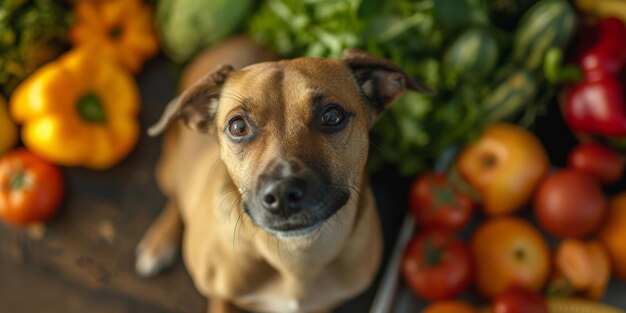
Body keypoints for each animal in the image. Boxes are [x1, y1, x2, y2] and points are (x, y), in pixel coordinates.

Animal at [135, 37, 428, 312]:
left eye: (333, 116)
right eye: (238, 126)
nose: (282, 193)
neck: (294, 258)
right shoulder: (222, 296)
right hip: (168, 169)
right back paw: (158, 243)